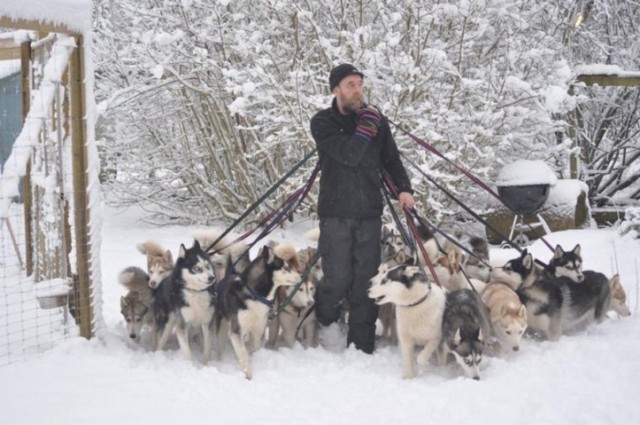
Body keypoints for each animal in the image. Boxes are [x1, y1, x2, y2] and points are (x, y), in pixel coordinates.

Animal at [215, 243, 302, 380]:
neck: (255, 295)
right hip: (222, 328)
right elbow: (243, 354)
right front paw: (248, 374)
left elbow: (256, 349)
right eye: (286, 268)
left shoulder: (258, 331)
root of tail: (230, 274)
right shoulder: (236, 331)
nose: (301, 276)